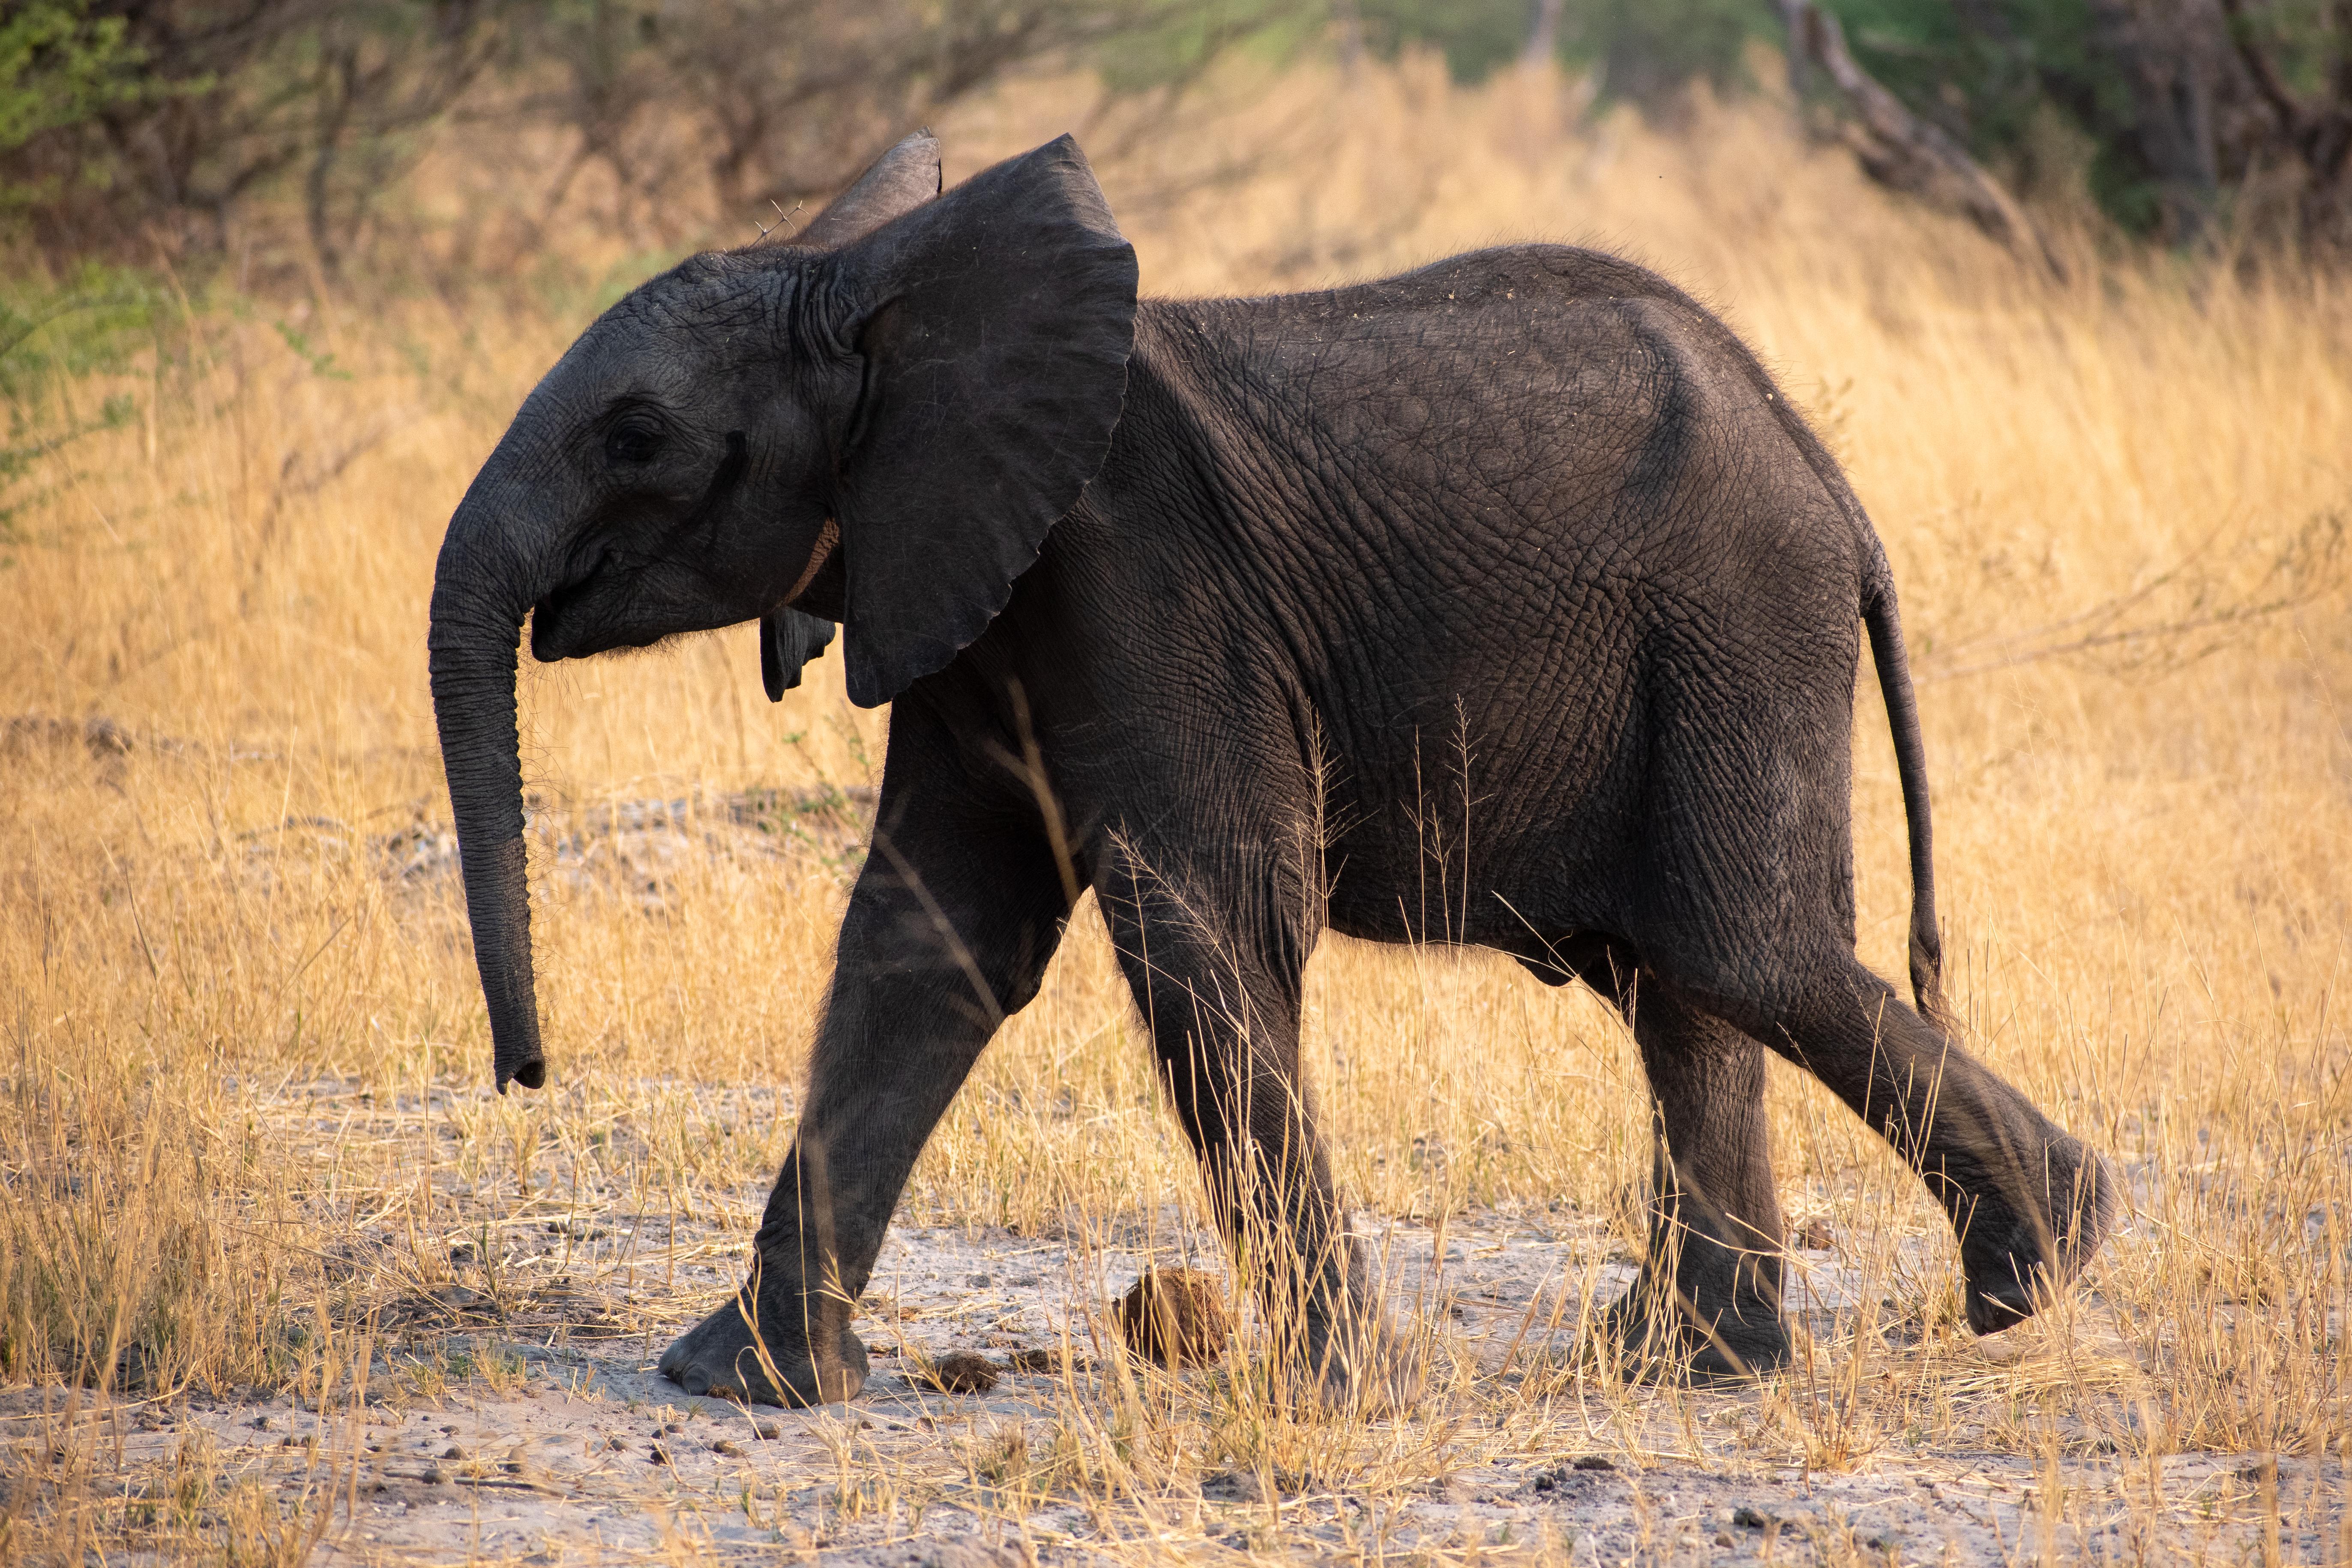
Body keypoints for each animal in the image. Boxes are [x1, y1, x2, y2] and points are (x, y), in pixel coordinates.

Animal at [428, 129, 2114, 1406]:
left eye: (635, 438)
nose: (526, 1073)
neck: (895, 288)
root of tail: (1832, 484)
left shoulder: (1141, 578)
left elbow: (1204, 929)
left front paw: (1337, 1395)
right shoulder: (968, 594)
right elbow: (926, 945)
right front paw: (745, 1384)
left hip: (1733, 627)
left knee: (1736, 949)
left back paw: (2039, 1264)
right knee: (1680, 985)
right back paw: (1692, 1363)